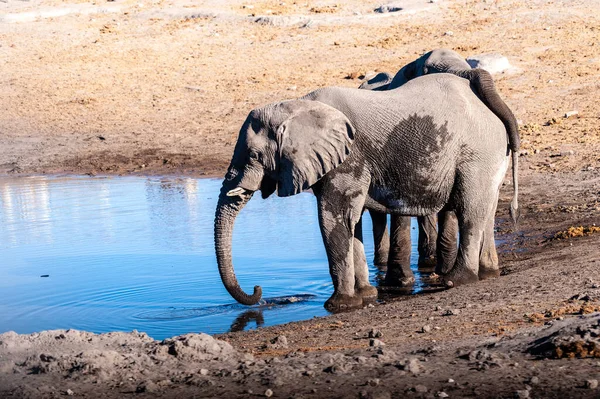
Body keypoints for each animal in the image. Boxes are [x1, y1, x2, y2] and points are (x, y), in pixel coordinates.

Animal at [217, 72, 520, 312]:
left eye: (254, 155)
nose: (258, 292)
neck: (298, 105)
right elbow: (352, 224)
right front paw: (366, 295)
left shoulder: (349, 159)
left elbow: (333, 219)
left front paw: (339, 306)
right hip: (490, 152)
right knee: (486, 210)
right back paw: (489, 272)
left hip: (477, 152)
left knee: (470, 211)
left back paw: (457, 280)